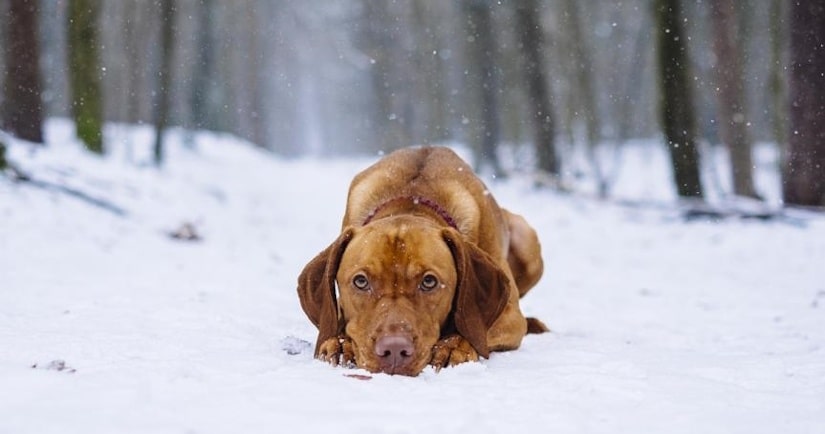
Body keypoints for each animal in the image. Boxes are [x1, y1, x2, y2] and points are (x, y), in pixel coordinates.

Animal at [296, 147, 548, 376]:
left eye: (429, 281)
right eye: (360, 281)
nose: (394, 350)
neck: (413, 198)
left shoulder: (510, 315)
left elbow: (477, 327)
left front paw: (452, 346)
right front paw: (339, 342)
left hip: (527, 241)